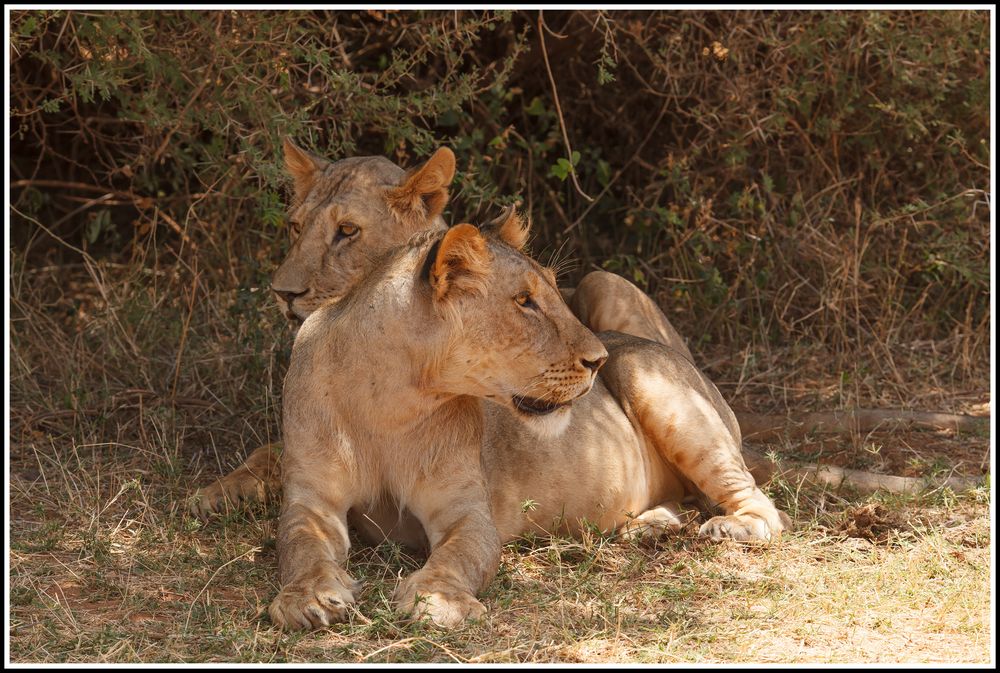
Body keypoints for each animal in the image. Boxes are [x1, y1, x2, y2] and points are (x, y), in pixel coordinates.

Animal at [274, 217, 788, 632]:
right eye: (525, 301)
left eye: (554, 294)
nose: (597, 360)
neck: (391, 399)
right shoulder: (311, 499)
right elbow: (299, 546)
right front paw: (308, 597)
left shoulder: (466, 510)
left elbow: (459, 556)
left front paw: (436, 600)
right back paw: (648, 527)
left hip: (652, 378)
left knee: (764, 508)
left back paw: (729, 528)